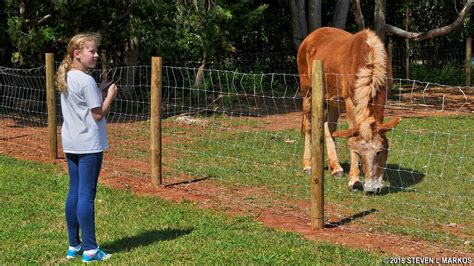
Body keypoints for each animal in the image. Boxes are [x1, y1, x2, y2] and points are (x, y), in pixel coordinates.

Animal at [298, 27, 402, 193]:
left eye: (380, 151)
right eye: (359, 152)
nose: (371, 188)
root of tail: (310, 37)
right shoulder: (350, 102)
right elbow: (352, 137)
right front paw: (354, 180)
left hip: (333, 101)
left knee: (329, 127)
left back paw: (336, 168)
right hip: (308, 93)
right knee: (308, 127)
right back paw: (308, 165)